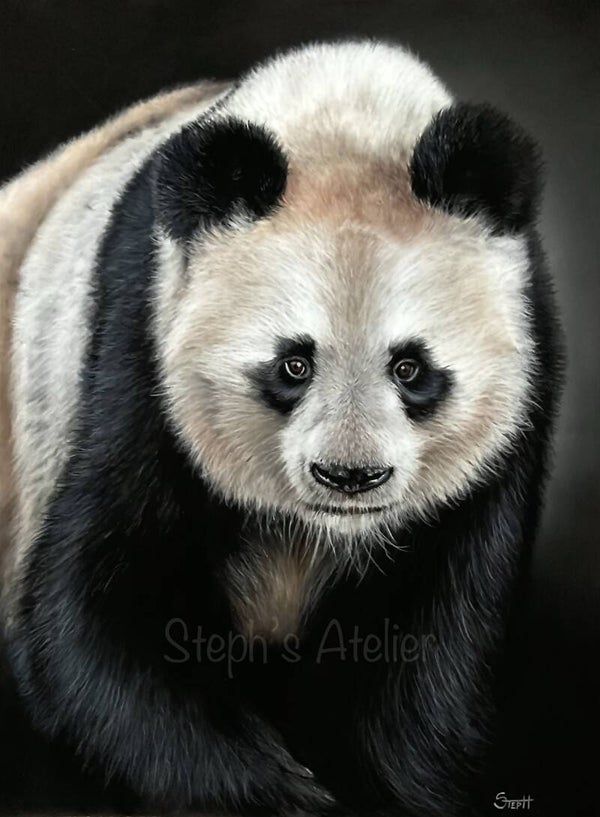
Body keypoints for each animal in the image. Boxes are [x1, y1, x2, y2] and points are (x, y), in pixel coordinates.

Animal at [0, 40, 561, 816]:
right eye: (294, 363)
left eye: (410, 368)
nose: (350, 477)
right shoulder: (137, 347)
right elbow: (92, 609)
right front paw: (282, 794)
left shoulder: (514, 406)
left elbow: (430, 651)